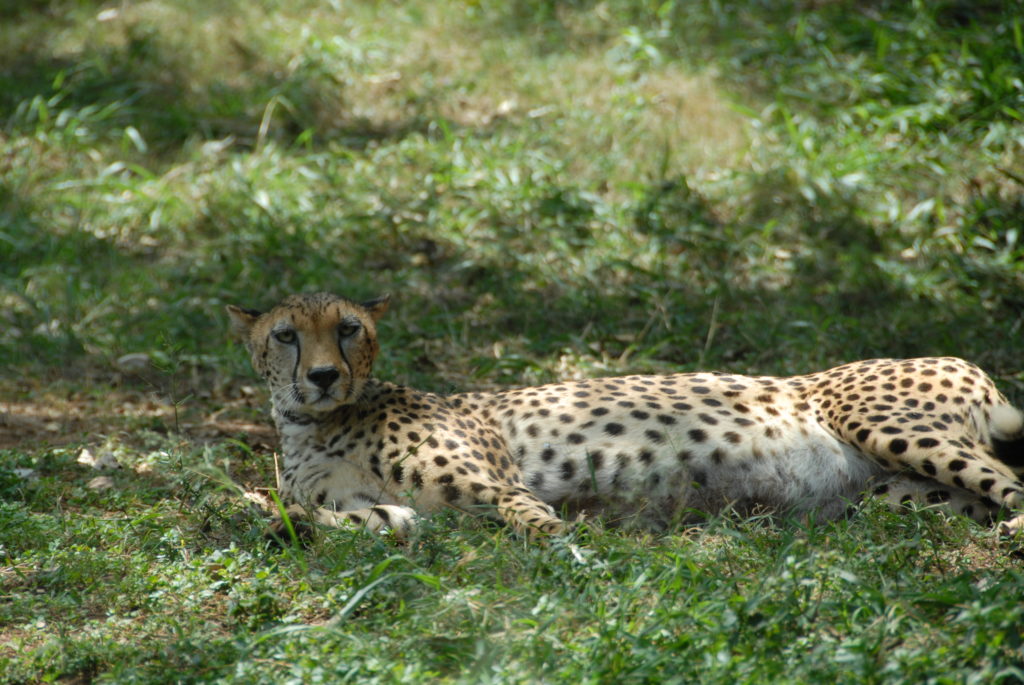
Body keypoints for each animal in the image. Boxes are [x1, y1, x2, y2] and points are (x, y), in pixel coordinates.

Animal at [228, 290, 1024, 536]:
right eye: (287, 334)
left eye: (348, 328)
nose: (323, 375)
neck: (316, 425)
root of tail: (970, 365)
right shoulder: (361, 503)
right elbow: (323, 514)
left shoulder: (501, 485)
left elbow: (536, 522)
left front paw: (571, 554)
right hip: (894, 494)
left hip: (890, 428)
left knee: (1015, 487)